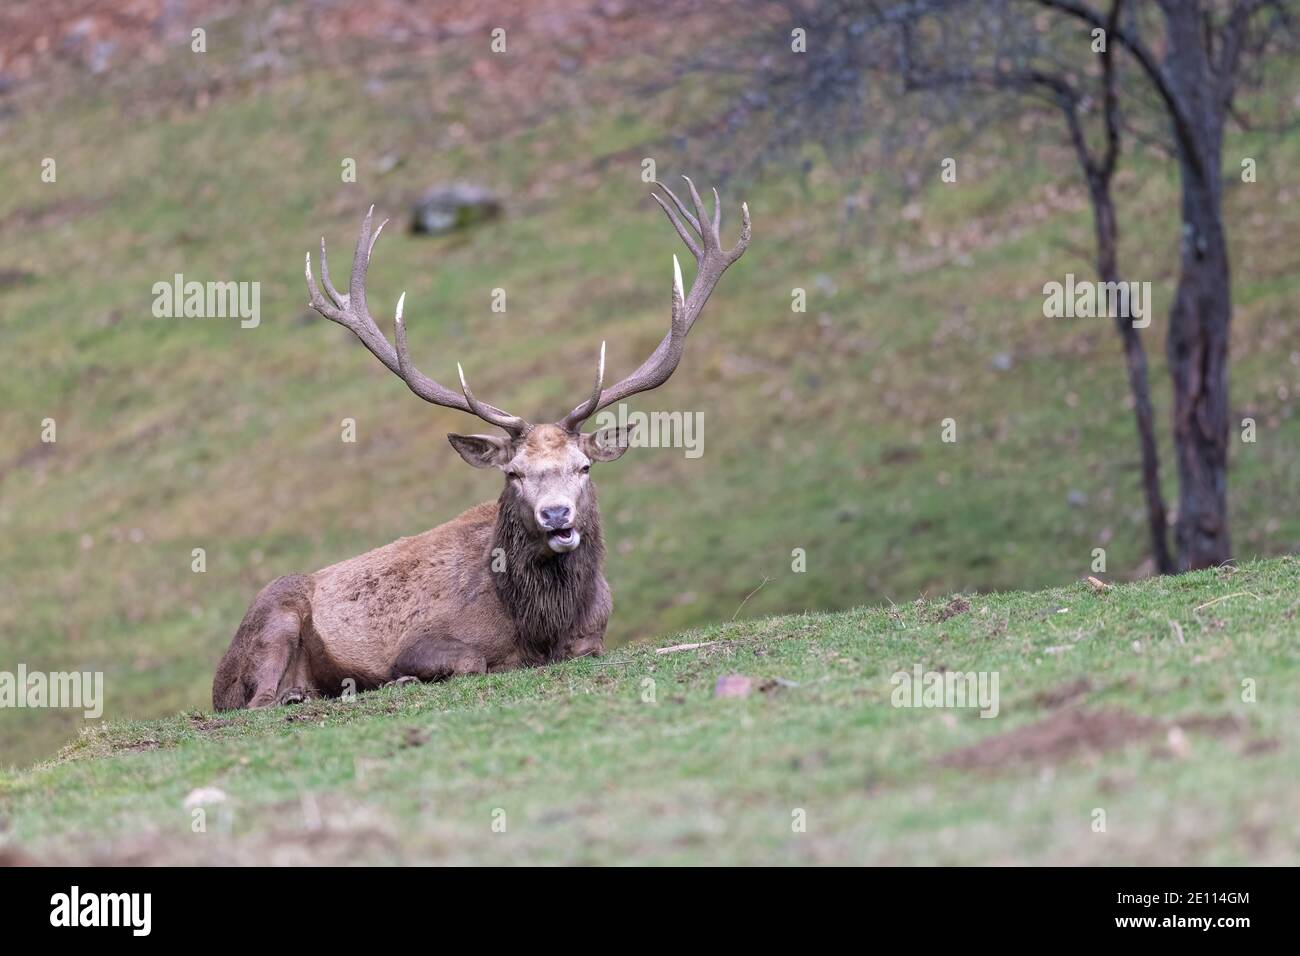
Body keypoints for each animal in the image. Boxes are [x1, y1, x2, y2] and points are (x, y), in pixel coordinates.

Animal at [212, 179, 750, 710]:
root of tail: (218, 683)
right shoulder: (420, 640)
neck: (538, 627)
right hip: (273, 619)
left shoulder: (594, 633)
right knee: (259, 700)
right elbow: (469, 661)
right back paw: (297, 695)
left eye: (584, 466)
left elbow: (586, 650)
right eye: (513, 473)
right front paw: (401, 679)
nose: (557, 514)